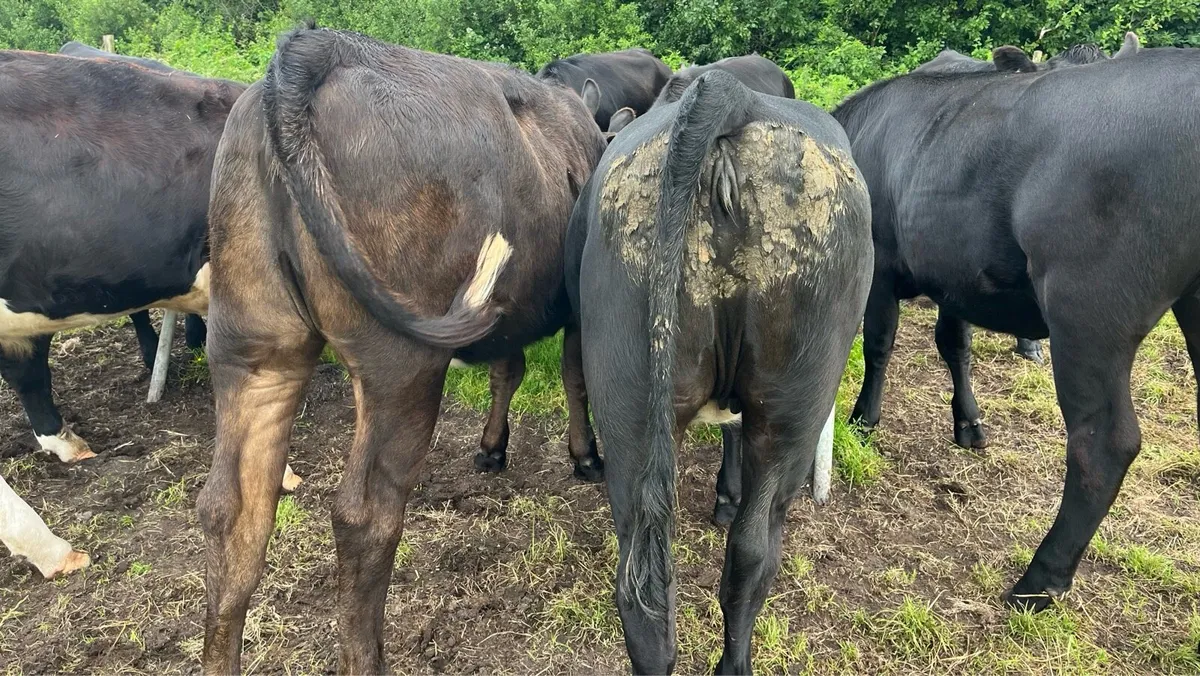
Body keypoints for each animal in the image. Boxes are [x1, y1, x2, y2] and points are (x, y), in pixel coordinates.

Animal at [196, 25, 607, 673]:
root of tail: (317, 48)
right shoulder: (576, 305)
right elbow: (574, 376)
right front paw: (584, 457)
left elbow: (507, 369)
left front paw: (493, 448)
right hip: (402, 362)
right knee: (364, 516)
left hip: (251, 347)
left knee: (230, 510)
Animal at [566, 69, 872, 674]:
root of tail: (732, 92)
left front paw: (723, 498)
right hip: (794, 409)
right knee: (754, 553)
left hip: (639, 408)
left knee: (653, 581)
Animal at [833, 44, 1200, 612]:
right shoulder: (955, 277)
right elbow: (954, 346)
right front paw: (969, 424)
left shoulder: (883, 261)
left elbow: (878, 343)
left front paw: (863, 421)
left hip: (1087, 315)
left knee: (1105, 442)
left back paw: (1039, 579)